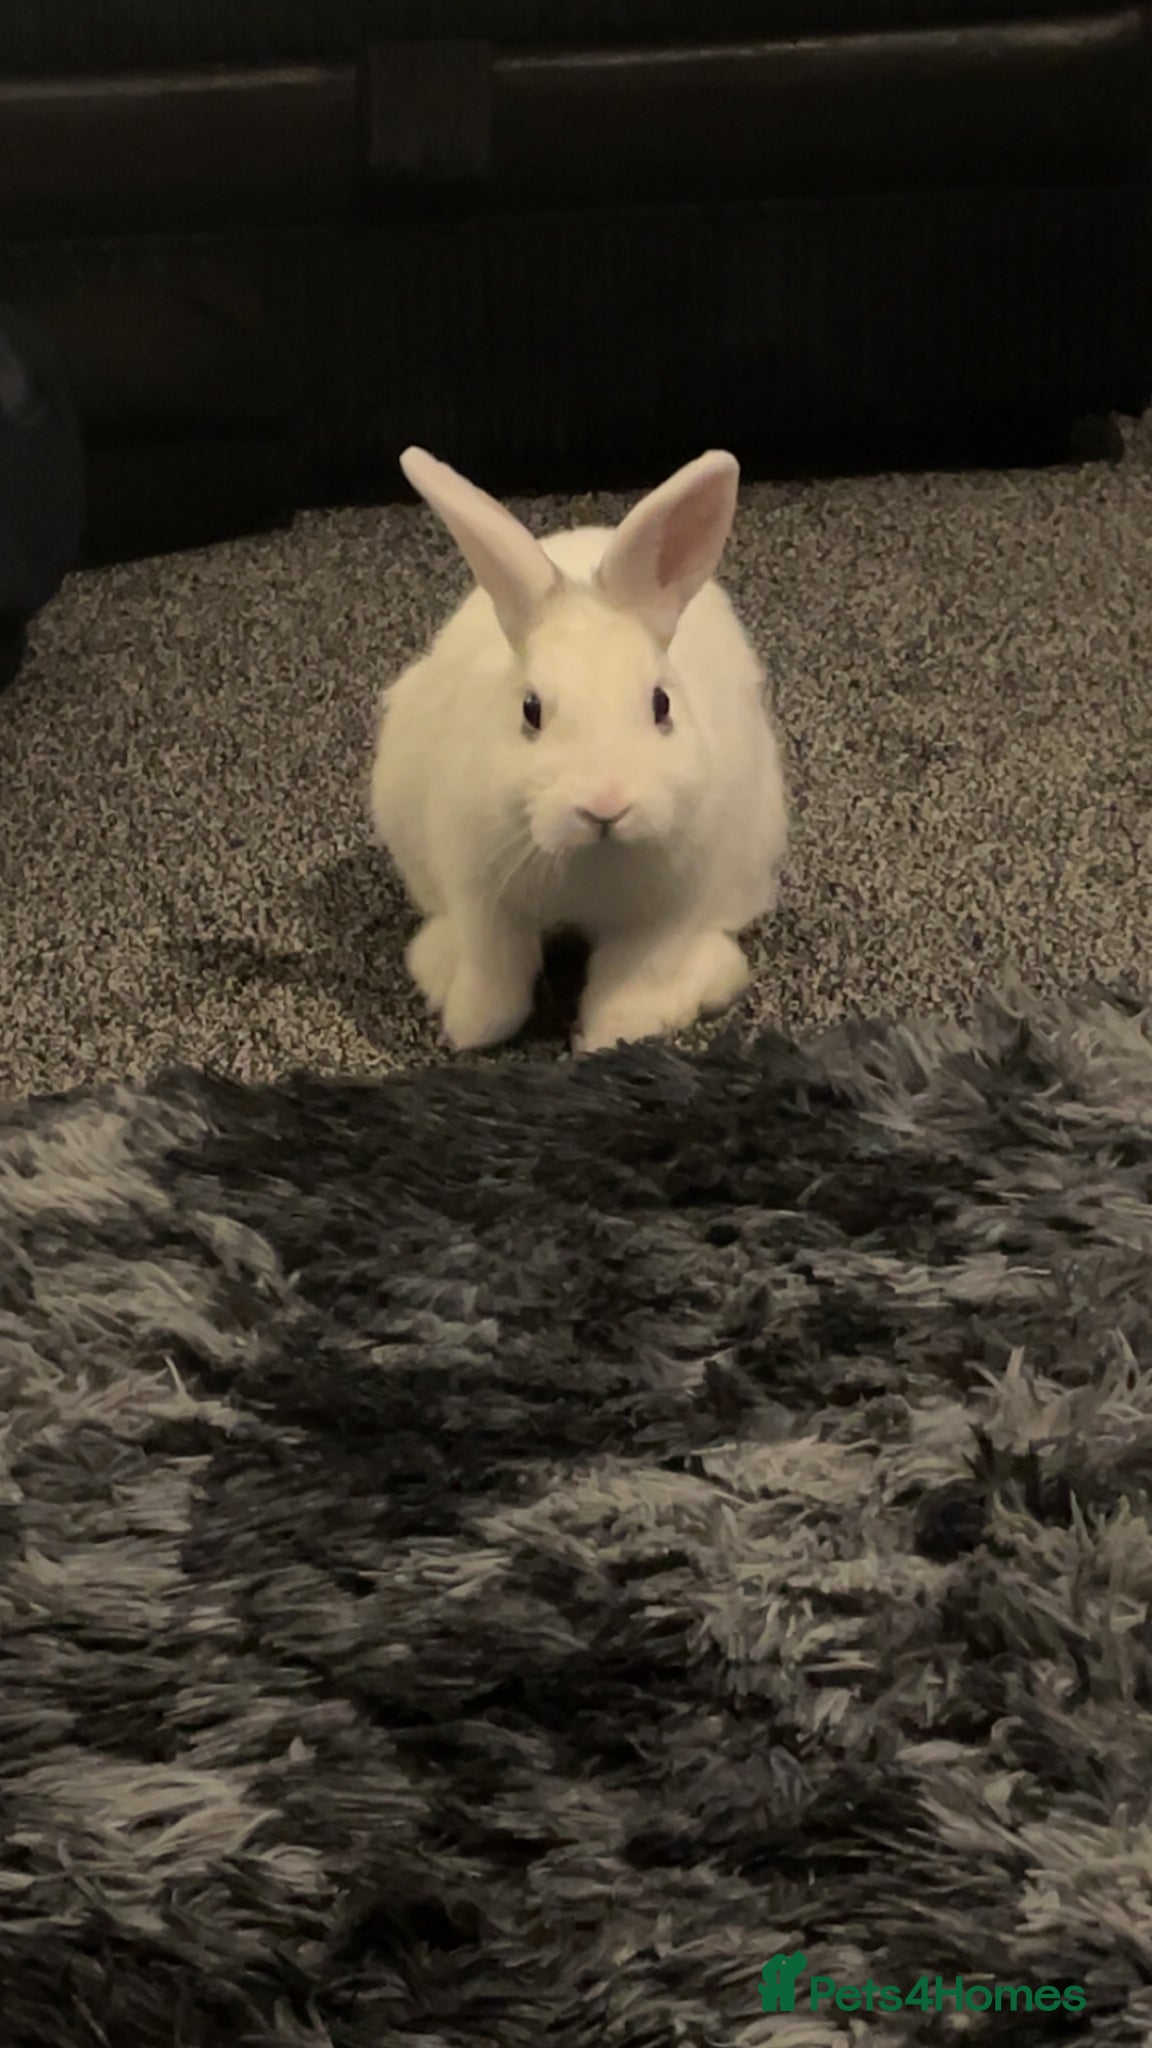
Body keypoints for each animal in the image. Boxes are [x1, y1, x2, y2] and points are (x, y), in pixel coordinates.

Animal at [370, 445, 788, 1055]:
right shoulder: (482, 898)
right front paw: (470, 1029)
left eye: (661, 704)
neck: (591, 860)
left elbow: (631, 982)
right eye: (531, 710)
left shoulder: (662, 918)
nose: (605, 805)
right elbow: (495, 977)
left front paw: (612, 1037)